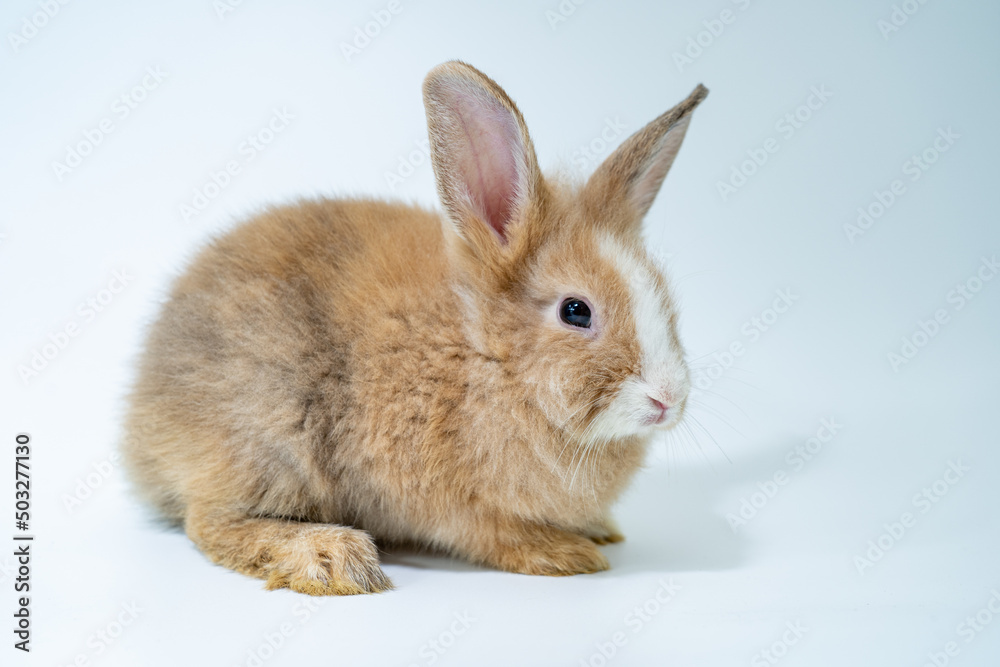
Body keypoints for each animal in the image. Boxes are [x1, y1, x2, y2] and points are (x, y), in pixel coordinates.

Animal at [123, 61, 704, 596]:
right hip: (268, 436)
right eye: (576, 311)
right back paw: (333, 558)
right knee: (210, 521)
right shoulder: (451, 503)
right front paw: (564, 553)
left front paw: (600, 531)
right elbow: (492, 535)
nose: (668, 399)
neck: (486, 359)